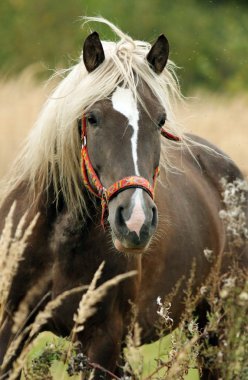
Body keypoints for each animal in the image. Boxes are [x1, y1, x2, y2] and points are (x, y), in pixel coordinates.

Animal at [0, 17, 247, 380]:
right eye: (92, 118)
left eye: (160, 120)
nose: (135, 221)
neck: (60, 240)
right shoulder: (12, 331)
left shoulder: (103, 340)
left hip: (218, 327)